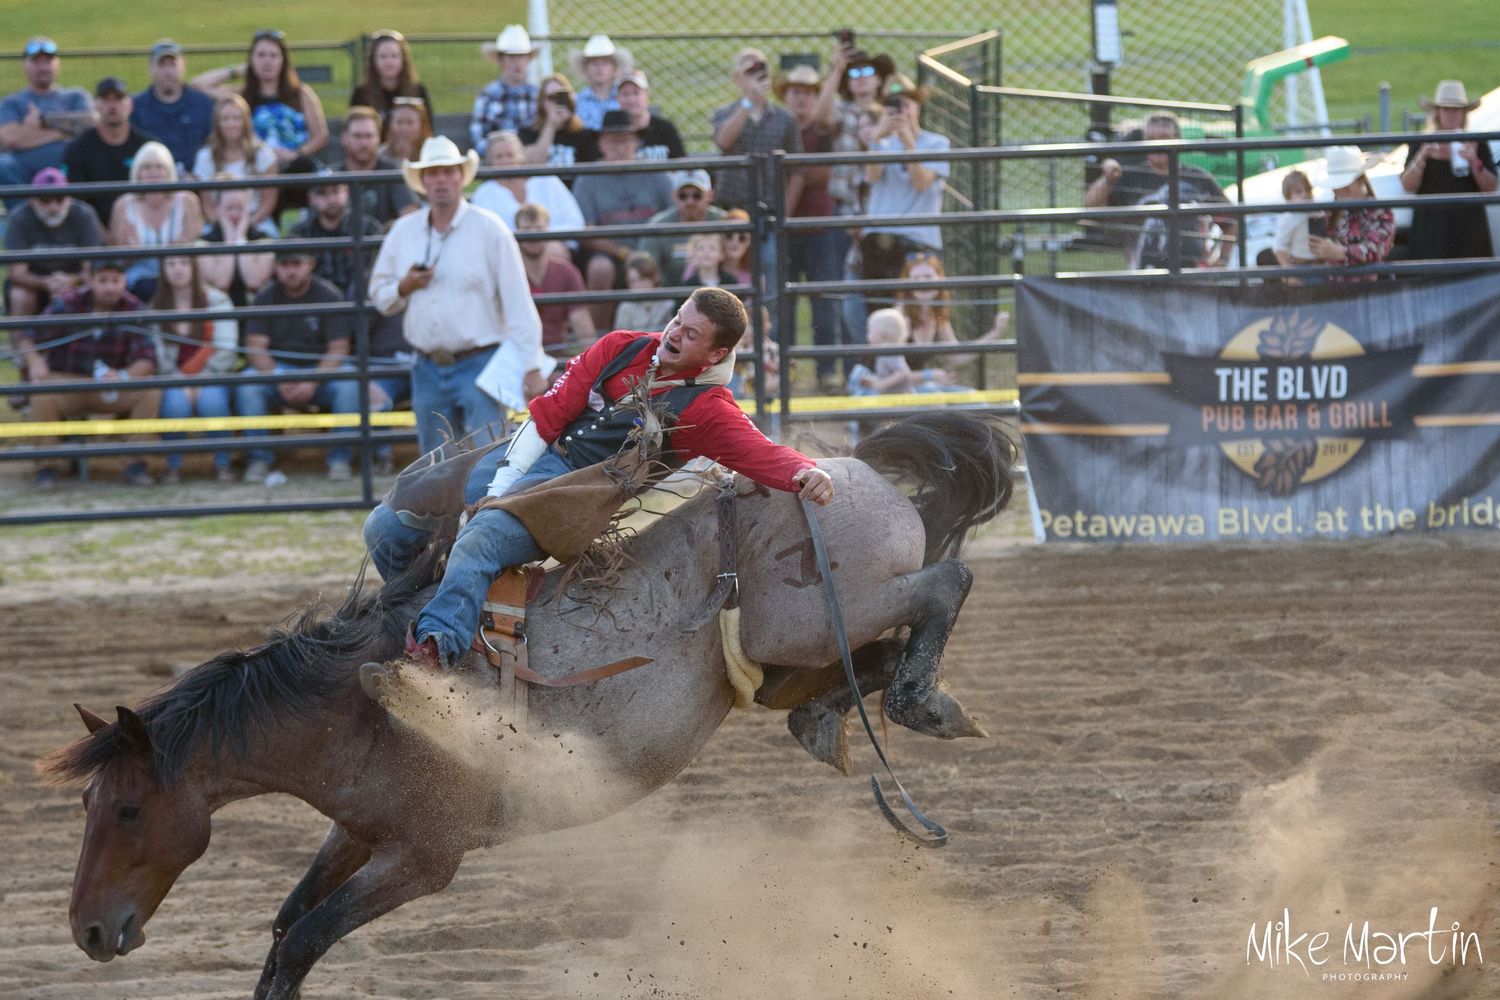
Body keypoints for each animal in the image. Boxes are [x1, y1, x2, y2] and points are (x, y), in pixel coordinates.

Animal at [38, 412, 1016, 1000]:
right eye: (86, 806)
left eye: (128, 809)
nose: (89, 930)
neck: (353, 707)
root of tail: (843, 467)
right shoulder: (358, 830)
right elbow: (284, 929)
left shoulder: (425, 858)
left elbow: (306, 937)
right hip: (791, 655)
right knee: (857, 666)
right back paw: (853, 717)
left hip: (810, 617)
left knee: (947, 584)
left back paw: (925, 704)